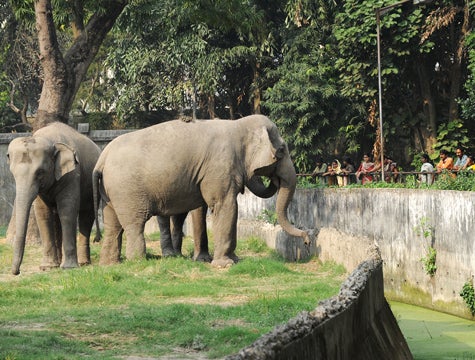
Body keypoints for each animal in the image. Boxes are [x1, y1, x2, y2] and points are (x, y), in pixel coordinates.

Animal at [6, 121, 102, 276]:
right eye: (13, 173)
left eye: (40, 173)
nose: (16, 272)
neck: (48, 139)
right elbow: (43, 214)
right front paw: (47, 267)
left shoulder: (72, 174)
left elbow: (67, 210)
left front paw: (69, 268)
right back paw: (59, 263)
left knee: (86, 216)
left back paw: (83, 263)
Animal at [94, 115, 308, 268]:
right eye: (282, 150)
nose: (307, 240)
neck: (237, 124)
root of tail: (102, 157)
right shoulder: (219, 167)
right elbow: (225, 205)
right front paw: (225, 265)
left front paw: (233, 260)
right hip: (127, 189)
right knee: (134, 224)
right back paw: (137, 262)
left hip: (111, 192)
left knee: (113, 224)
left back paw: (110, 264)